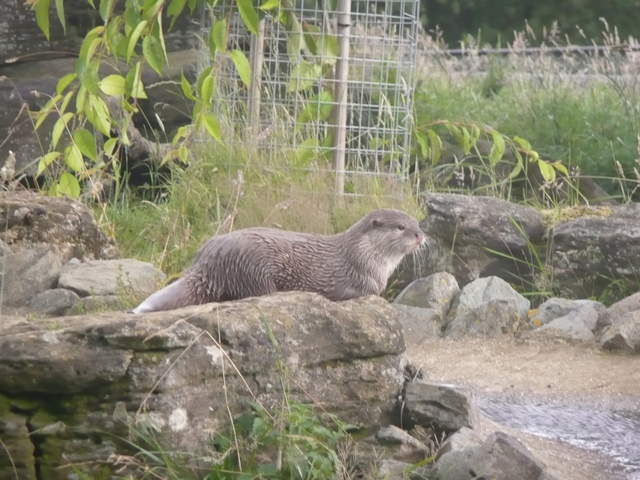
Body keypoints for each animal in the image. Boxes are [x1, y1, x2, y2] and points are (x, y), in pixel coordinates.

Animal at [132, 209, 426, 313]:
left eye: (416, 222)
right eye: (401, 227)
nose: (421, 235)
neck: (361, 255)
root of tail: (207, 259)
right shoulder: (360, 282)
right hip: (254, 271)